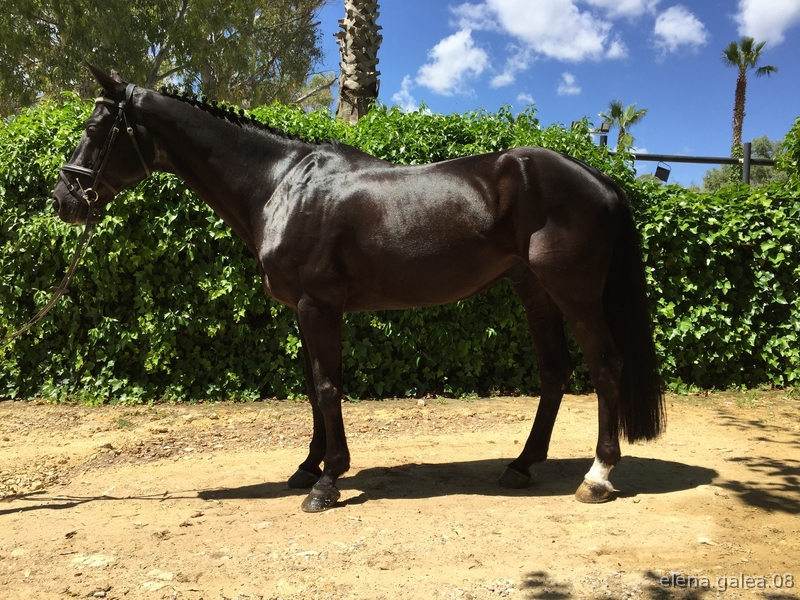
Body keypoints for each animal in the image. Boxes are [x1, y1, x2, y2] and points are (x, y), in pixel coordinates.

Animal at [51, 66, 664, 512]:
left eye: (96, 129)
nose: (63, 201)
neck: (281, 184)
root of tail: (601, 179)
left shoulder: (317, 306)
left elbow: (327, 389)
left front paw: (327, 482)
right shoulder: (304, 311)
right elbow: (312, 388)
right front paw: (307, 468)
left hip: (574, 293)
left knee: (606, 365)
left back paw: (597, 476)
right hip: (534, 291)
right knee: (555, 371)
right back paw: (521, 466)